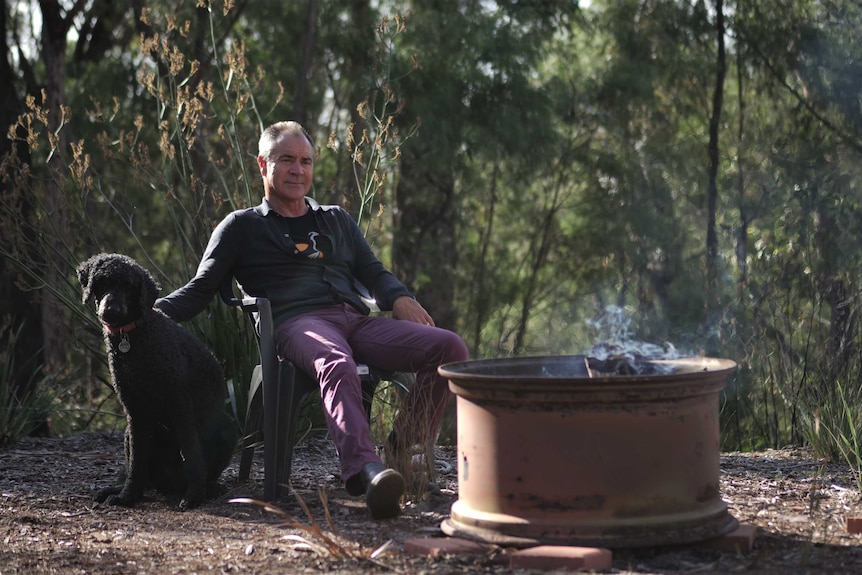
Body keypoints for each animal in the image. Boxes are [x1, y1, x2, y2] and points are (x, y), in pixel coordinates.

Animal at [77, 254, 238, 510]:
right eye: (102, 283)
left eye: (129, 286)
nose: (111, 311)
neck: (134, 338)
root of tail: (168, 484)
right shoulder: (135, 411)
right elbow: (136, 463)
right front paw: (127, 496)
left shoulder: (180, 406)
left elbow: (191, 453)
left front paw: (193, 496)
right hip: (128, 433)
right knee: (140, 471)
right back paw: (120, 488)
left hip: (226, 426)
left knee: (206, 469)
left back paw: (209, 487)